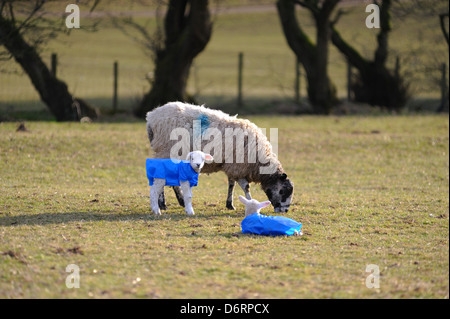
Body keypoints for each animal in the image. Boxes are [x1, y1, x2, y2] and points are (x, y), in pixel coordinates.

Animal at [147, 101, 296, 214]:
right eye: (283, 191)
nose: (284, 211)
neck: (259, 161)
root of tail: (151, 117)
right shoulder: (239, 166)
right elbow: (245, 187)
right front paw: (249, 201)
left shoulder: (233, 165)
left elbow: (231, 184)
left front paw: (230, 204)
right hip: (165, 152)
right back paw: (164, 203)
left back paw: (177, 201)